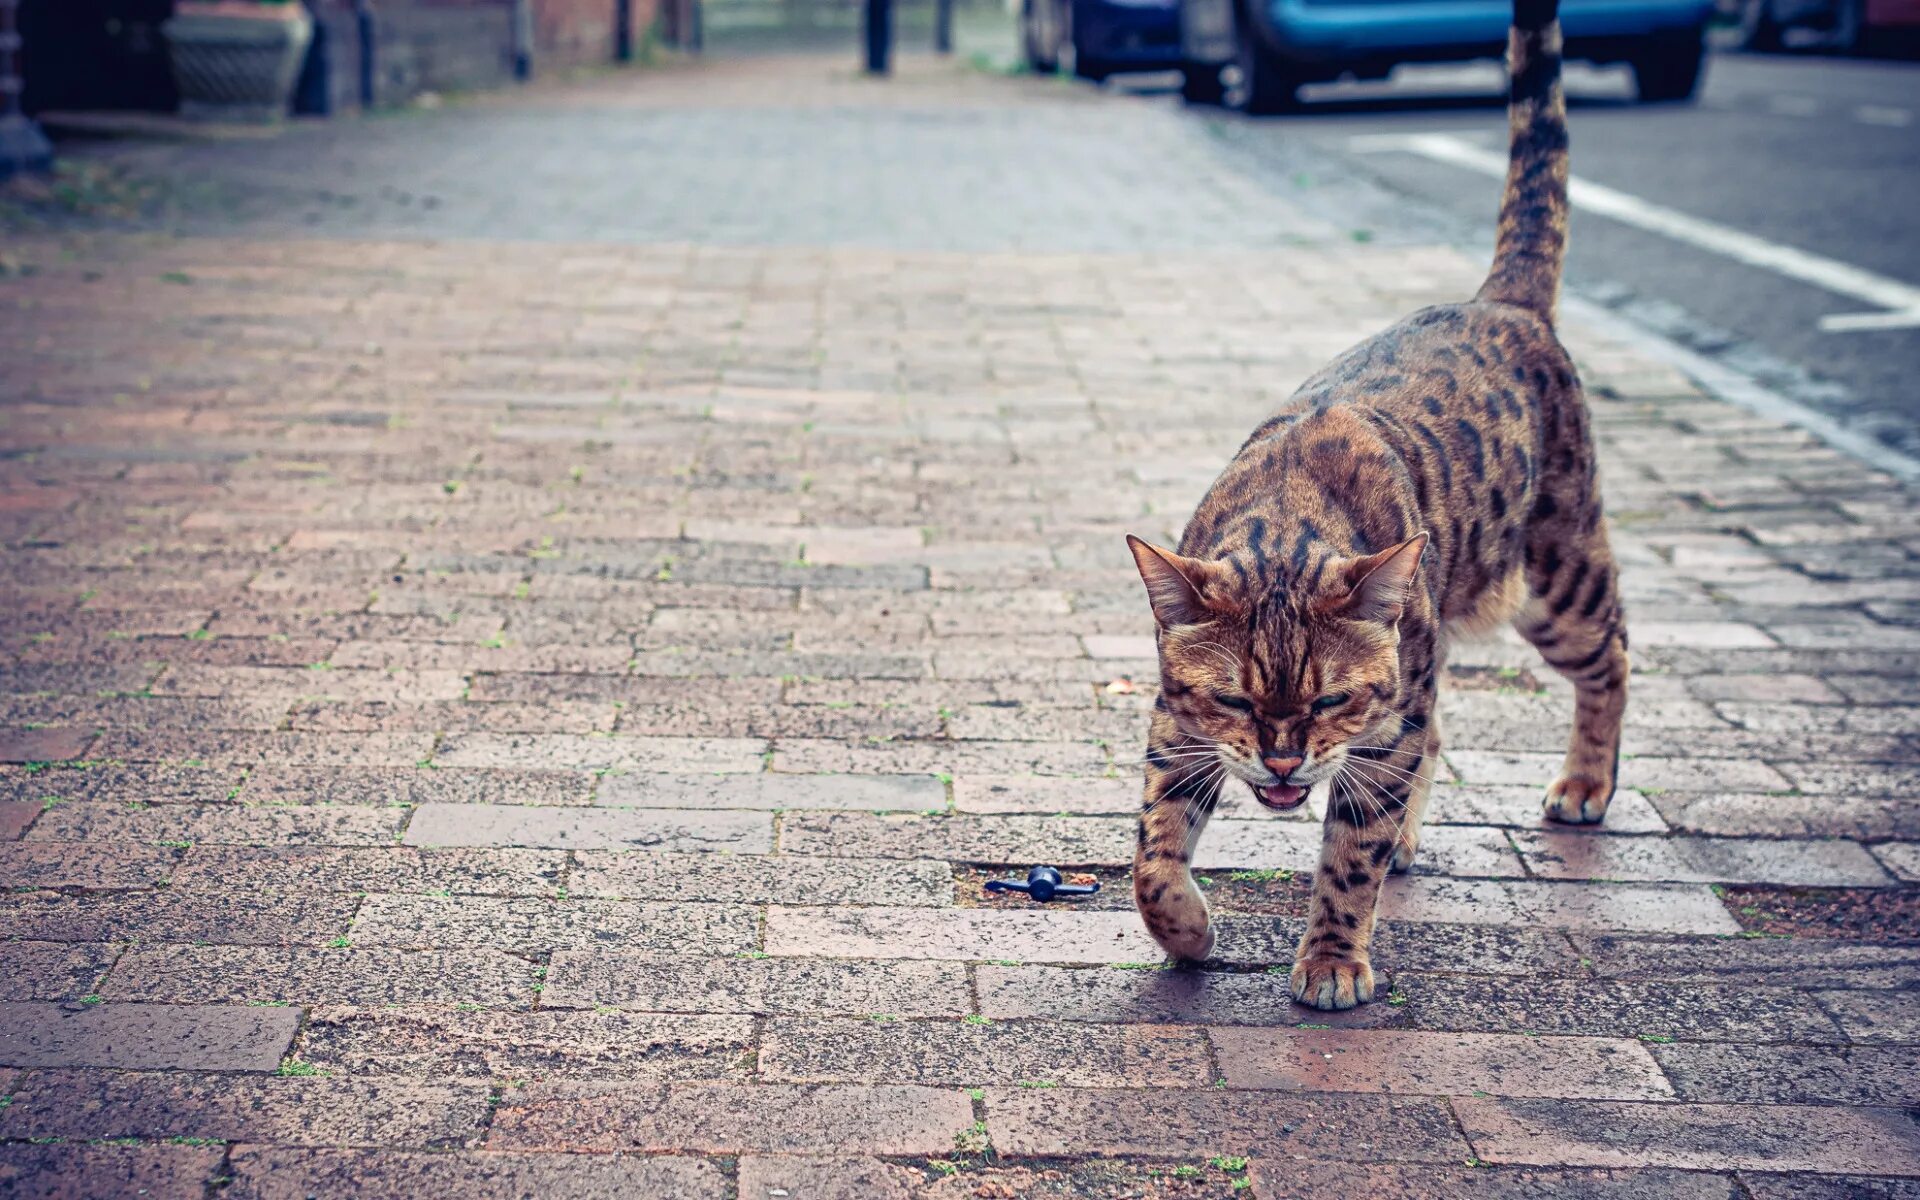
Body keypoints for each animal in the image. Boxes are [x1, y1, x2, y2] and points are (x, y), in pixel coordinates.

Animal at [1121, 0, 1620, 1006]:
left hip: (1558, 581)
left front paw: (1331, 959)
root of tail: (1502, 302)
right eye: (1233, 699)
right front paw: (1185, 928)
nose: (1281, 761)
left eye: (1327, 700)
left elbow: (1349, 859)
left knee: (1612, 655)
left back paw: (1587, 785)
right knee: (1441, 728)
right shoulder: (1174, 722)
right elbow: (1152, 853)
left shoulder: (1378, 731)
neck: (1286, 513)